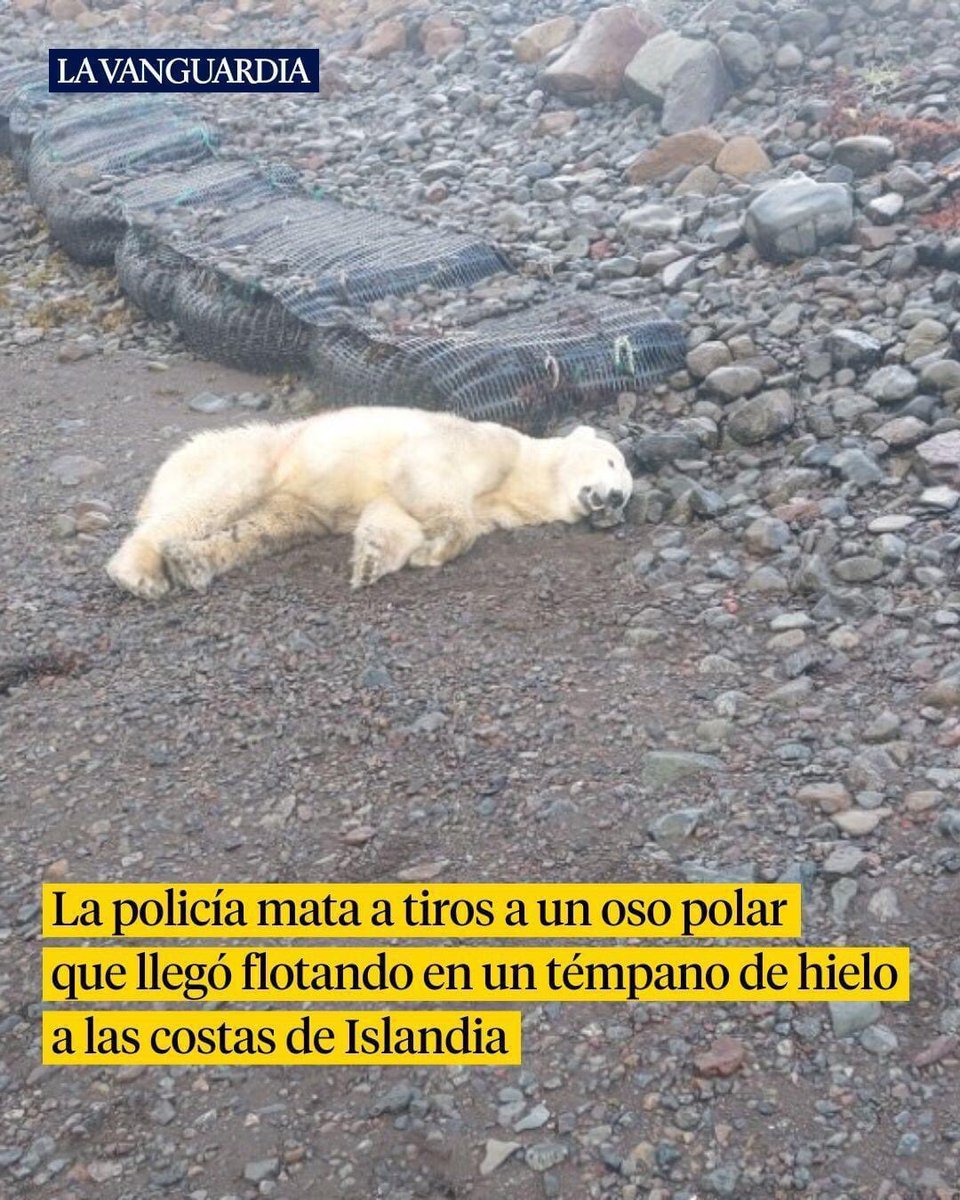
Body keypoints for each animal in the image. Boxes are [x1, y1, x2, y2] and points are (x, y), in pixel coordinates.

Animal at [105, 405, 634, 598]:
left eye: (627, 493)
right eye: (612, 462)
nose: (614, 499)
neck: (522, 474)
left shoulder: (492, 504)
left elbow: (393, 515)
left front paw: (374, 560)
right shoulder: (479, 444)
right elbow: (427, 478)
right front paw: (436, 547)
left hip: (292, 503)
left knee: (265, 528)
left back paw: (191, 563)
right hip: (255, 456)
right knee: (212, 500)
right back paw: (139, 573)